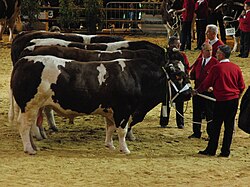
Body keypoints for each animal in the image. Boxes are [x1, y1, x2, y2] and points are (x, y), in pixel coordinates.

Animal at [8, 54, 190, 154]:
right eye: (180, 77)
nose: (191, 93)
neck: (135, 76)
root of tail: (24, 60)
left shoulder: (110, 111)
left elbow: (110, 128)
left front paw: (109, 145)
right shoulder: (123, 110)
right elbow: (122, 131)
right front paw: (125, 149)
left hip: (33, 107)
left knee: (31, 126)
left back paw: (33, 146)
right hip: (29, 106)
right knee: (24, 126)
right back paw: (29, 149)